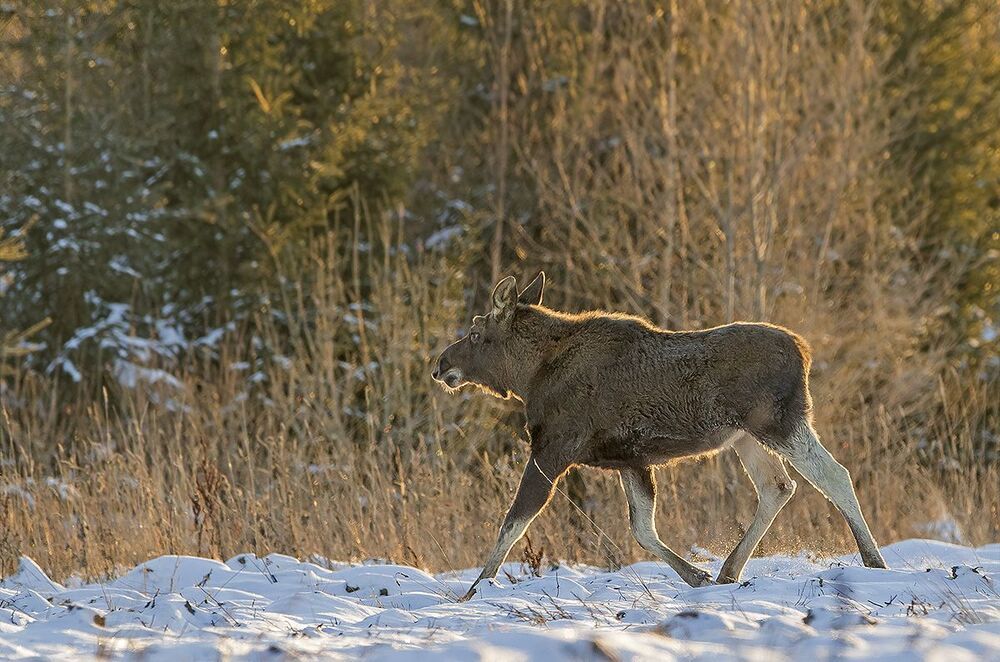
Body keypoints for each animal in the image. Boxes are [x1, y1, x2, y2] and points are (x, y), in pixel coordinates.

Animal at [432, 272, 887, 601]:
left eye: (475, 334)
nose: (440, 364)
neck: (528, 376)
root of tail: (804, 350)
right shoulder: (630, 459)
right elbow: (643, 529)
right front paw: (697, 576)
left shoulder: (553, 448)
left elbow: (513, 521)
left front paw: (474, 590)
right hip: (745, 436)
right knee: (778, 486)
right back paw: (728, 570)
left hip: (778, 422)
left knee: (834, 475)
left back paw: (875, 561)